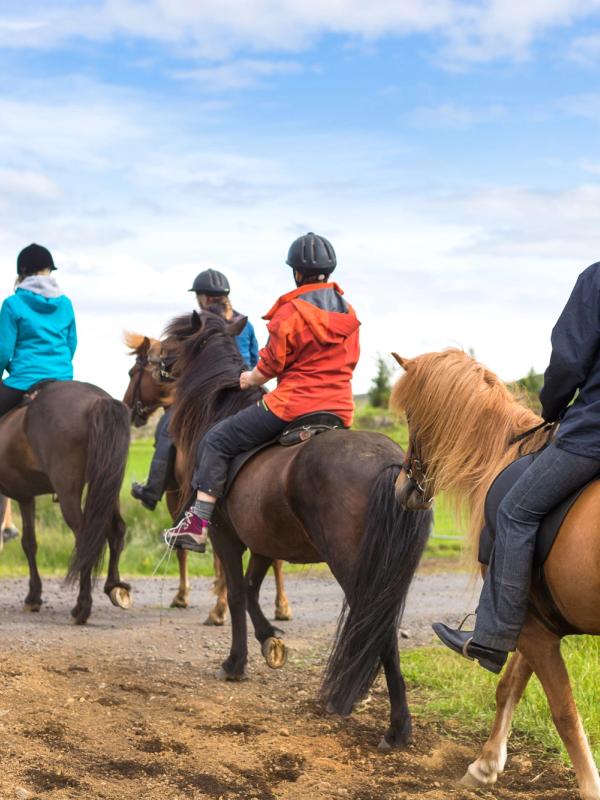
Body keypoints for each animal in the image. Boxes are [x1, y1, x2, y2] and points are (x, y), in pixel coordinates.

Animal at [0, 380, 132, 623]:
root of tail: (98, 399)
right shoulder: (25, 496)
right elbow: (29, 543)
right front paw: (33, 596)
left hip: (68, 491)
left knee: (84, 539)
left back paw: (82, 607)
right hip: (109, 483)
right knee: (116, 529)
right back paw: (114, 586)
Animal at [123, 332, 292, 623]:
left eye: (134, 372)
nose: (127, 407)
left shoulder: (177, 494)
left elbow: (183, 548)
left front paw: (185, 597)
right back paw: (281, 606)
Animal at [162, 310, 432, 750]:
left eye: (175, 340)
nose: (159, 362)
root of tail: (393, 467)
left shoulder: (226, 538)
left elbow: (234, 594)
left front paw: (235, 662)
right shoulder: (264, 543)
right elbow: (251, 590)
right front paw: (270, 639)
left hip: (356, 571)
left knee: (378, 630)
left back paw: (392, 725)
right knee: (383, 629)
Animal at [390, 348, 600, 799]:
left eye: (412, 415)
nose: (404, 487)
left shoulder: (530, 625)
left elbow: (563, 711)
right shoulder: (535, 620)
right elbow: (510, 687)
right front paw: (485, 765)